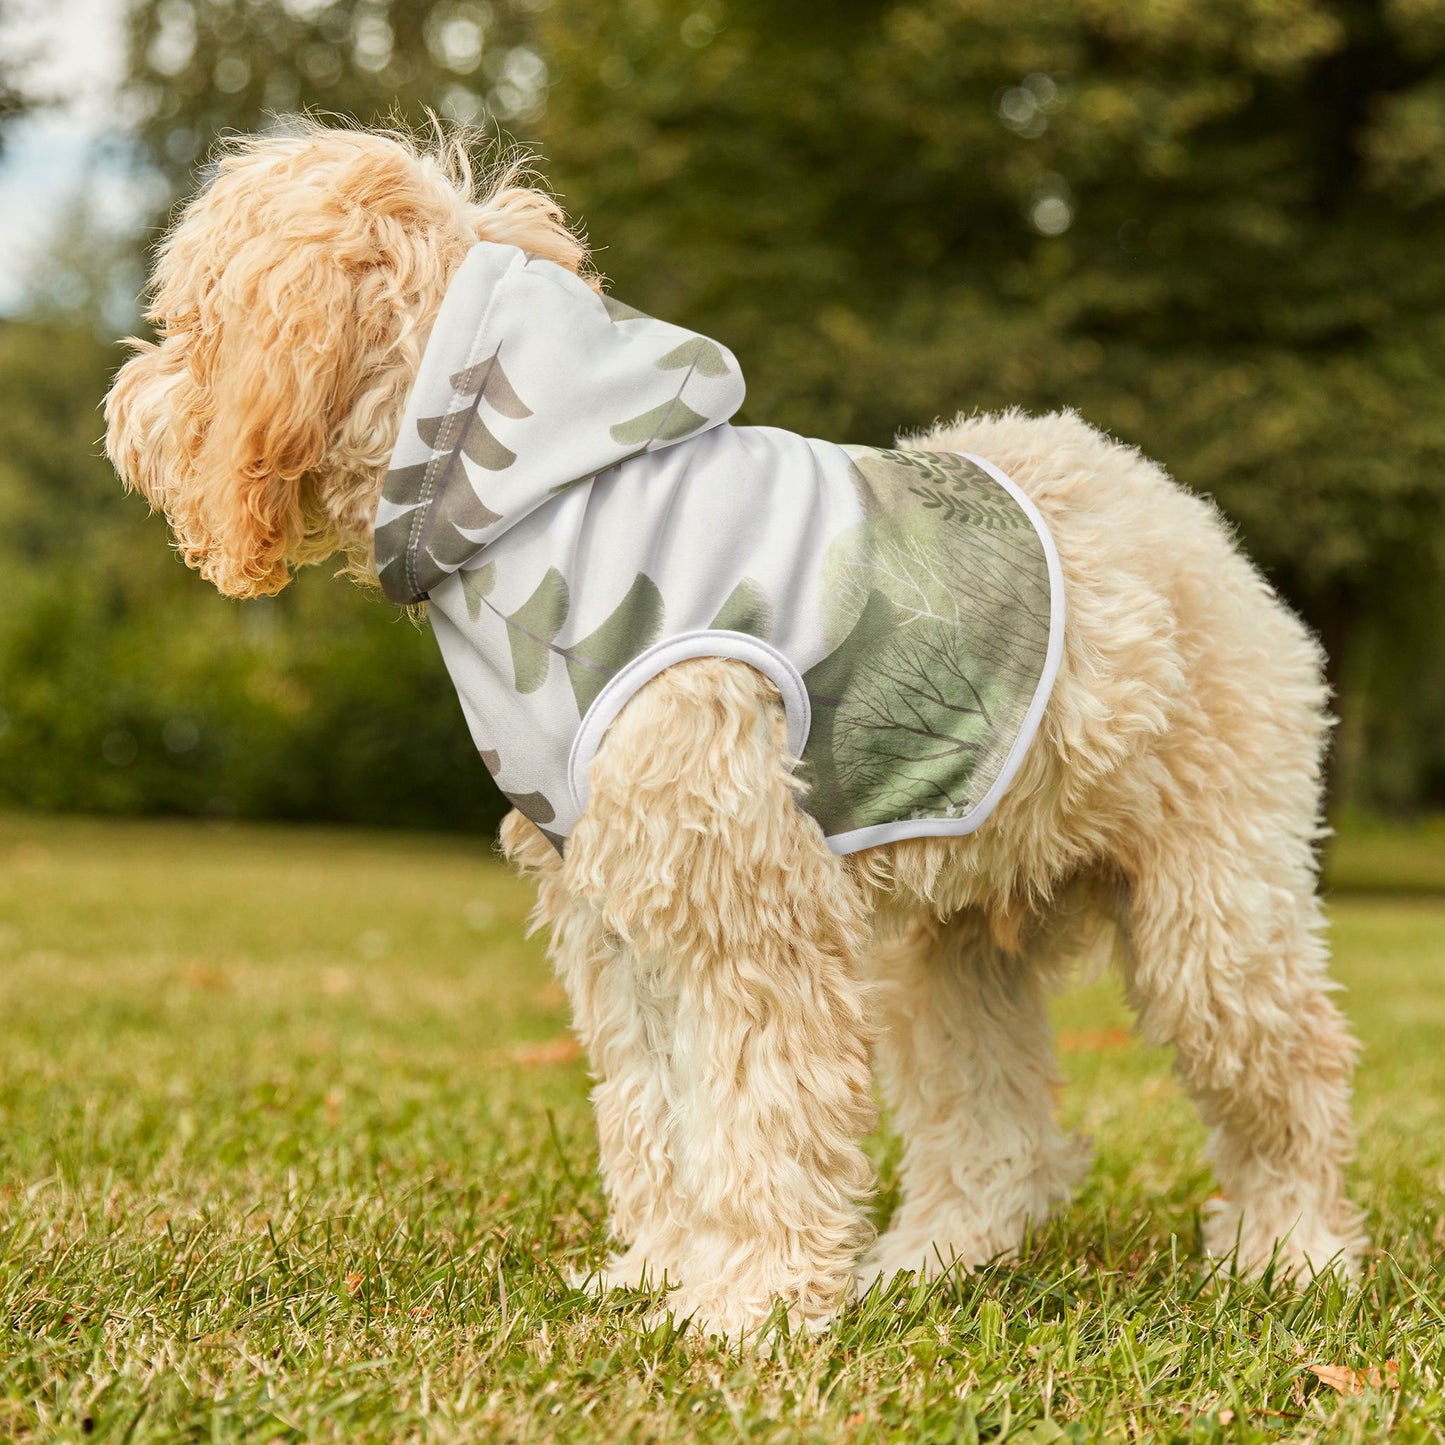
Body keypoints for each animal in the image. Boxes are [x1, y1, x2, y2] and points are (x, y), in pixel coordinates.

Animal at [106, 124, 1358, 1340]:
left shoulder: (744, 904)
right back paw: (931, 1260)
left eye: (189, 322)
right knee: (997, 1132)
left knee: (1293, 1073)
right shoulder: (616, 910)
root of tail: (1183, 516)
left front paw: (745, 1304)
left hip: (1213, 915)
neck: (536, 497)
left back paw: (1290, 1252)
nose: (123, 407)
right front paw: (661, 1273)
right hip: (950, 947)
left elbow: (759, 1111)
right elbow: (656, 1110)